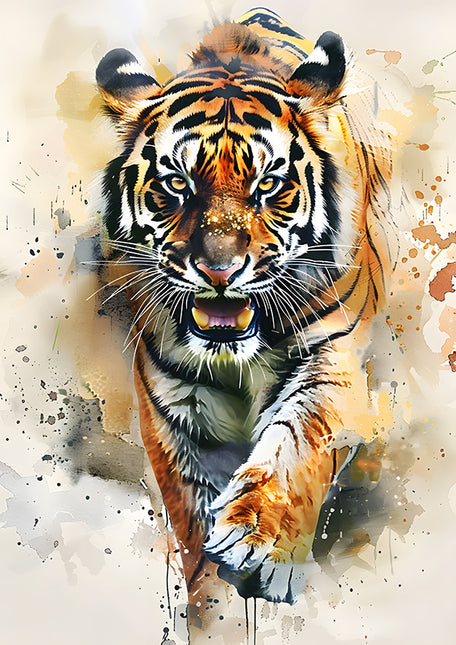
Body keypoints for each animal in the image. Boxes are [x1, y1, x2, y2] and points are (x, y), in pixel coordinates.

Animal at [94, 7, 396, 605]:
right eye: (176, 185)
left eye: (268, 185)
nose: (219, 270)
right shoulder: (172, 397)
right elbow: (189, 507)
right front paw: (208, 588)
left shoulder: (333, 355)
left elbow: (299, 442)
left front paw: (257, 537)